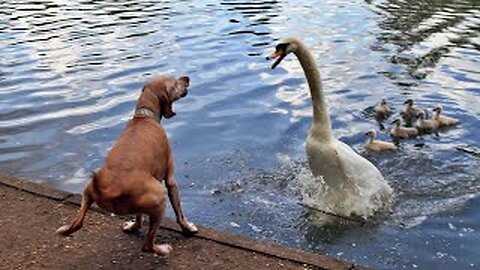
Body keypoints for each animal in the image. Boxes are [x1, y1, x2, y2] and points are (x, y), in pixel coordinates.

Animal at [55, 75, 197, 255]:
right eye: (174, 83)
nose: (187, 78)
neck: (144, 116)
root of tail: (110, 190)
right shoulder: (170, 180)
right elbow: (179, 212)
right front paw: (187, 228)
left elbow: (138, 214)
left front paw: (134, 226)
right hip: (161, 195)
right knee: (147, 245)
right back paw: (162, 249)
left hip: (87, 191)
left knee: (77, 223)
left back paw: (65, 229)